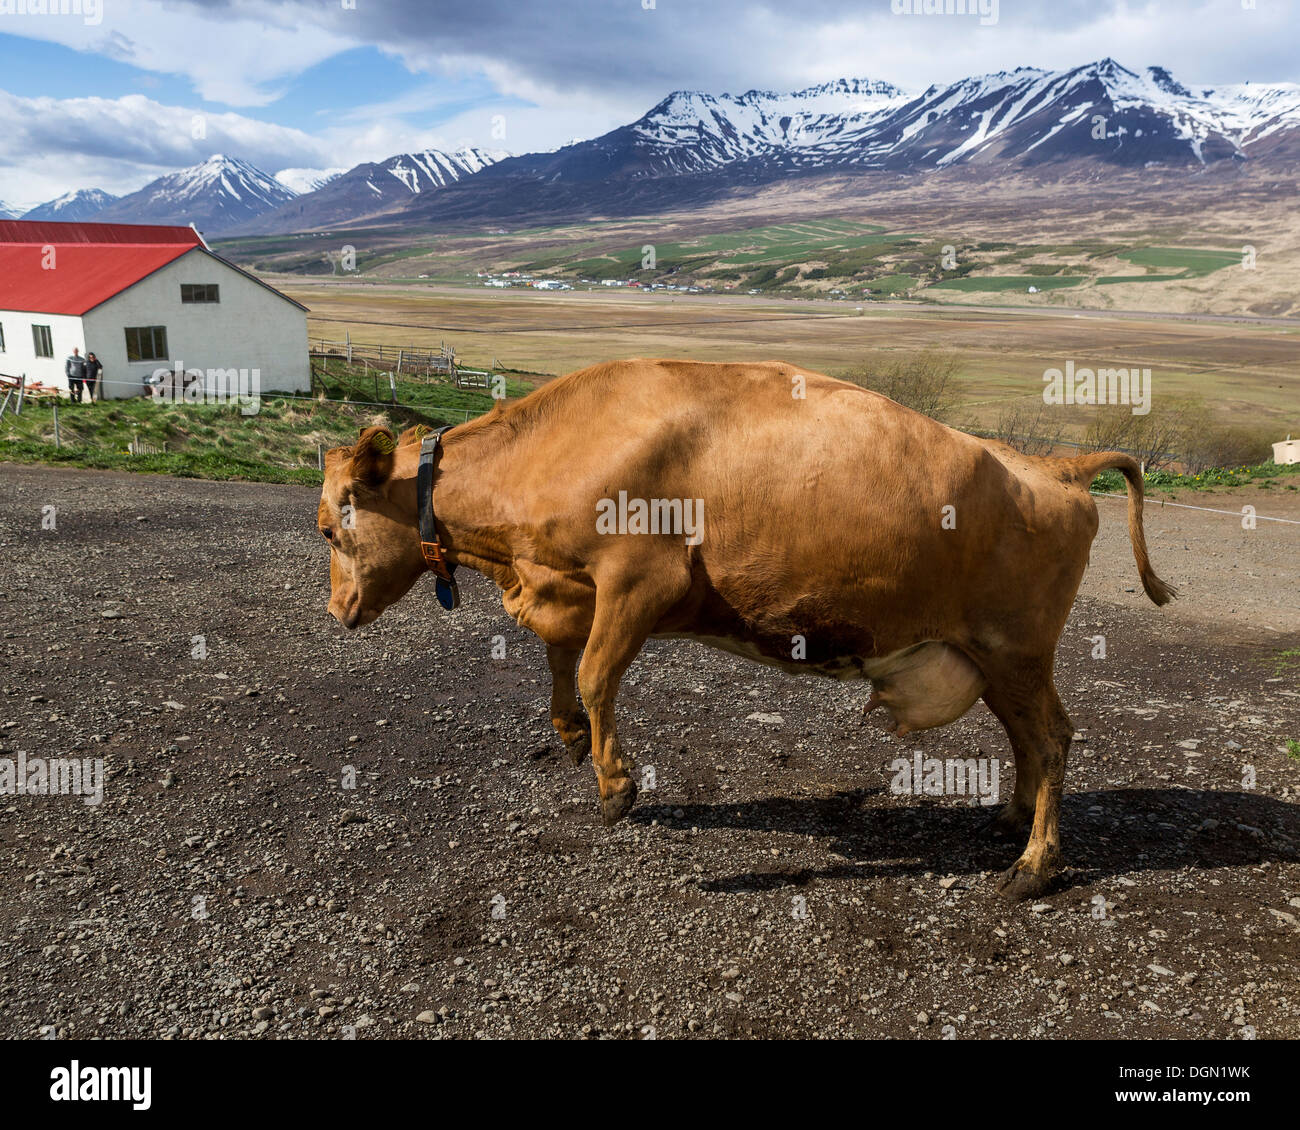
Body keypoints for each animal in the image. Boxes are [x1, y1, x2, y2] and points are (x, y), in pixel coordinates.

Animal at [319, 361, 1175, 899]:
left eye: (332, 527)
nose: (336, 611)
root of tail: (1054, 466)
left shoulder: (640, 580)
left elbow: (594, 674)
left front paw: (616, 787)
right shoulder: (565, 586)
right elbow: (562, 665)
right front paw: (569, 737)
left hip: (1017, 649)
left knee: (1055, 738)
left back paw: (1034, 866)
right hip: (994, 659)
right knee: (1029, 739)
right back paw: (1009, 817)